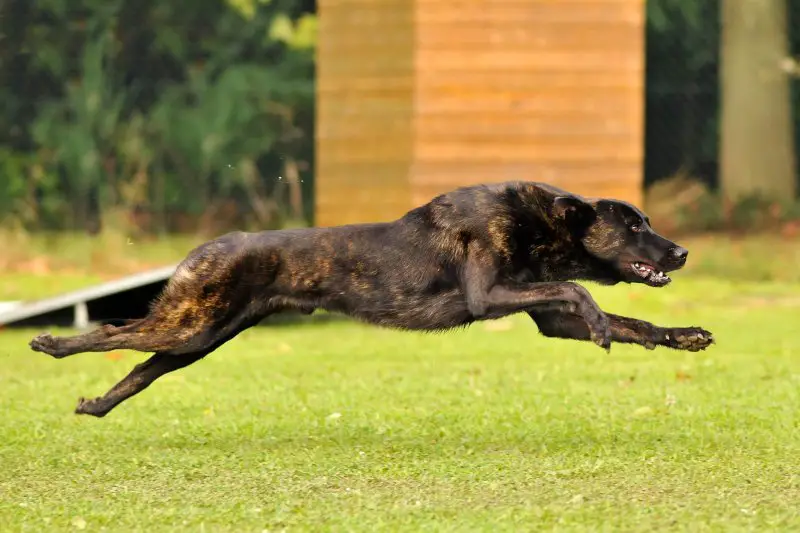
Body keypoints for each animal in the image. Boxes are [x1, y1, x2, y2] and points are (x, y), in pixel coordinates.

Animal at [28, 181, 716, 418]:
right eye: (634, 225)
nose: (682, 252)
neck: (541, 223)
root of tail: (209, 247)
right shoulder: (488, 294)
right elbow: (580, 291)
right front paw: (599, 321)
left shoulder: (545, 317)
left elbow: (636, 322)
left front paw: (685, 336)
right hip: (187, 325)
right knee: (111, 332)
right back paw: (50, 342)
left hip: (197, 339)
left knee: (138, 369)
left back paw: (95, 406)